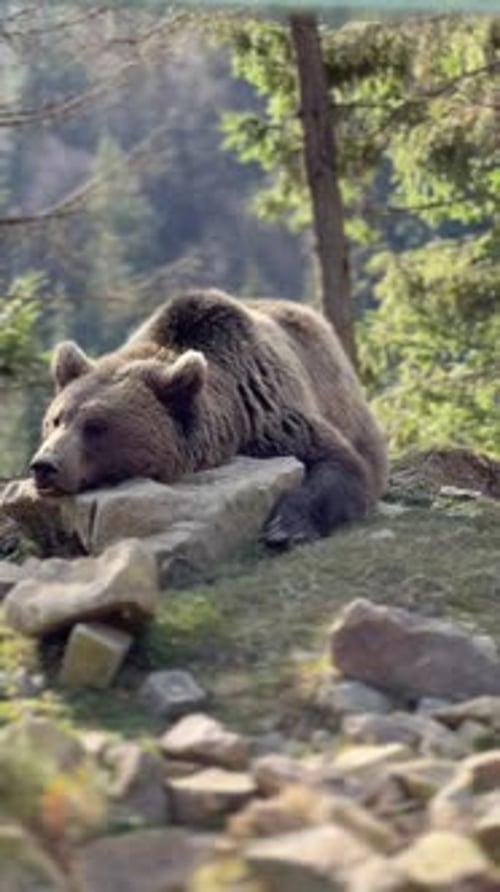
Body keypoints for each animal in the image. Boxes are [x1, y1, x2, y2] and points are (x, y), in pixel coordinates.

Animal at [30, 289, 388, 547]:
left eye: (96, 426)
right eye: (56, 420)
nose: (45, 465)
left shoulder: (272, 415)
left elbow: (342, 464)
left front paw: (285, 527)